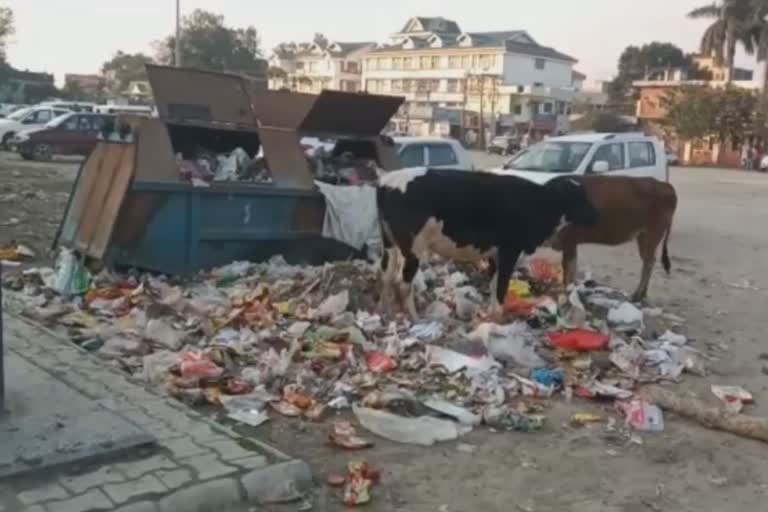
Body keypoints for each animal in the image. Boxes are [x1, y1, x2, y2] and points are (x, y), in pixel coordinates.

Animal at [378, 168, 600, 318]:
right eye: (579, 197)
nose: (596, 215)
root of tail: (388, 180)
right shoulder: (510, 249)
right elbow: (502, 285)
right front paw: (499, 316)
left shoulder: (495, 254)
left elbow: (493, 284)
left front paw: (490, 313)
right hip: (413, 248)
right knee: (403, 282)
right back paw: (414, 317)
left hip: (390, 244)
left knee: (387, 276)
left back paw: (387, 311)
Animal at [544, 175, 680, 300]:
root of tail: (664, 184)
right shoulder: (571, 242)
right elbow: (572, 267)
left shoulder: (569, 240)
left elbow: (568, 269)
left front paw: (567, 291)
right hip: (642, 237)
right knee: (649, 261)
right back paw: (643, 294)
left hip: (651, 235)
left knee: (648, 262)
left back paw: (637, 294)